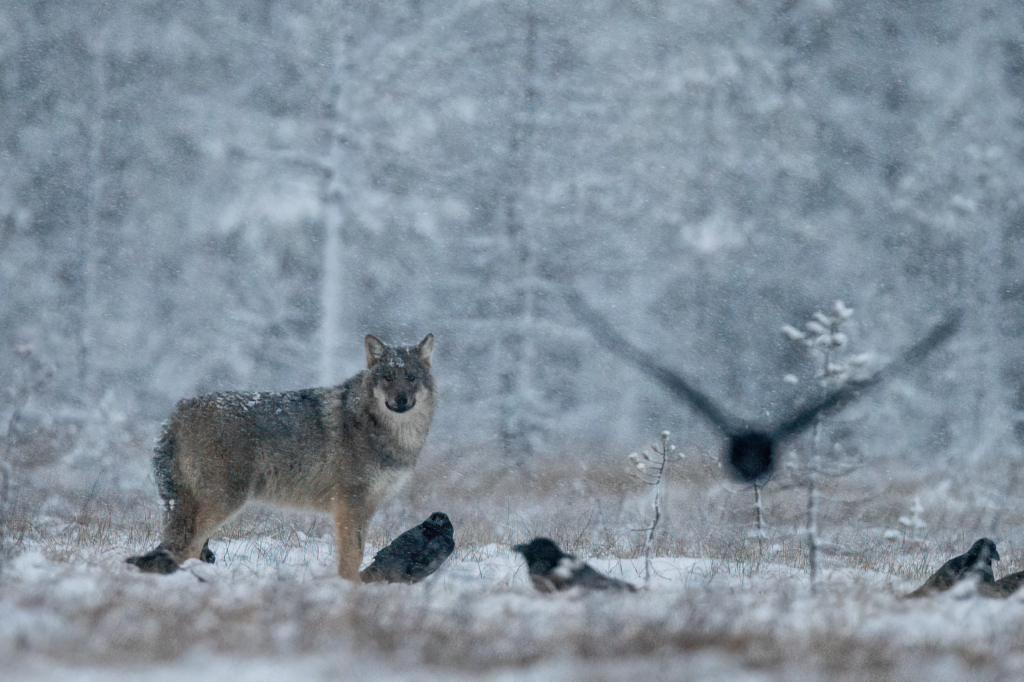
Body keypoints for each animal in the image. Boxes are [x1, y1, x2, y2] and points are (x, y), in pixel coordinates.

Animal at [124, 331, 436, 577]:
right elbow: (352, 558)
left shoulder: (365, 507)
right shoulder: (351, 505)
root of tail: (177, 411)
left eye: (411, 378)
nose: (401, 400)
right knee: (186, 547)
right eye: (388, 377)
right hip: (224, 502)